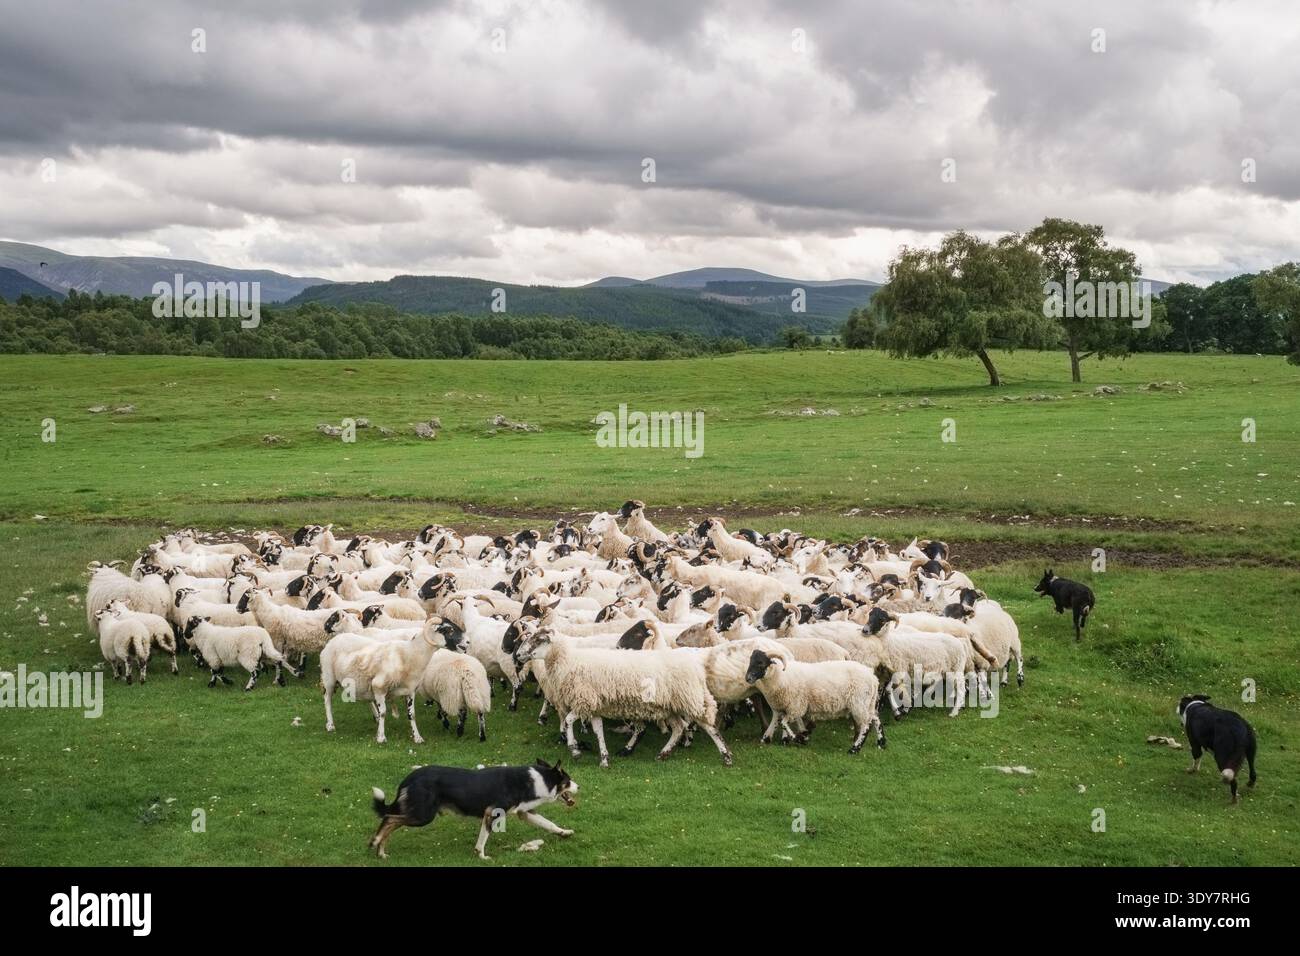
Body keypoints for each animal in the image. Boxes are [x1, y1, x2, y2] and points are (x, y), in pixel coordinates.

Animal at [321, 618, 449, 744]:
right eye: (448, 630)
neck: (410, 654)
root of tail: (333, 640)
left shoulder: (410, 690)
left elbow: (412, 715)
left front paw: (417, 737)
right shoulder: (379, 687)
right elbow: (383, 712)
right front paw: (381, 737)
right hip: (329, 678)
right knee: (327, 699)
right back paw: (330, 725)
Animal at [743, 646, 886, 753]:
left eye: (761, 663)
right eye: (750, 661)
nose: (748, 678)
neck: (780, 677)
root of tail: (873, 678)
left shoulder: (795, 706)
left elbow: (784, 723)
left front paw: (798, 738)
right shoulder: (786, 706)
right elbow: (779, 721)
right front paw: (768, 738)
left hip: (859, 703)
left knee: (866, 724)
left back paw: (855, 748)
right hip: (868, 702)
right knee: (876, 718)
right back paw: (881, 742)